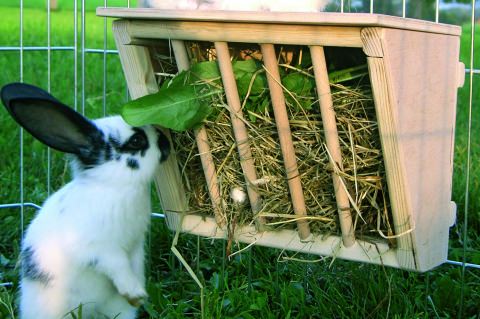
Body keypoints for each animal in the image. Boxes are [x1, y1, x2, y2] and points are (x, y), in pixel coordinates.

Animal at [0, 83, 171, 319]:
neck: (114, 184)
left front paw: (138, 294)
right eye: (137, 141)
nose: (166, 140)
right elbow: (118, 266)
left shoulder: (136, 245)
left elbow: (135, 265)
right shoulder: (99, 248)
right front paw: (136, 293)